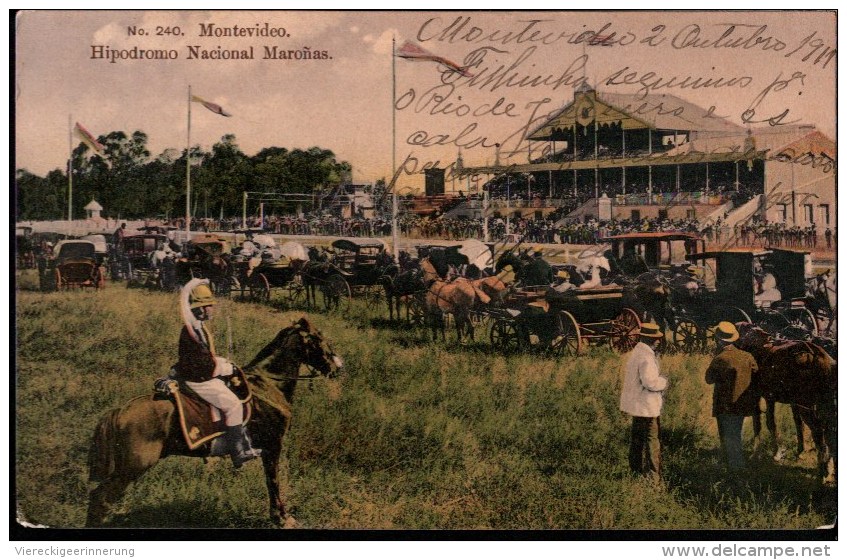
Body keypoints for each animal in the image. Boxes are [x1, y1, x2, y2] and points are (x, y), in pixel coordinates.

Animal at [88, 318, 344, 528]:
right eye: (319, 338)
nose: (337, 367)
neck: (268, 384)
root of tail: (119, 411)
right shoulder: (273, 445)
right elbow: (273, 481)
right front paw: (282, 517)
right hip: (131, 469)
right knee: (100, 500)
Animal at [736, 322, 836, 484]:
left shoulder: (758, 394)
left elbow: (761, 423)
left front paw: (759, 454)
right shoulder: (773, 398)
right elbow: (782, 423)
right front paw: (786, 452)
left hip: (808, 407)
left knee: (820, 435)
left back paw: (823, 473)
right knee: (829, 434)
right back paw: (828, 469)